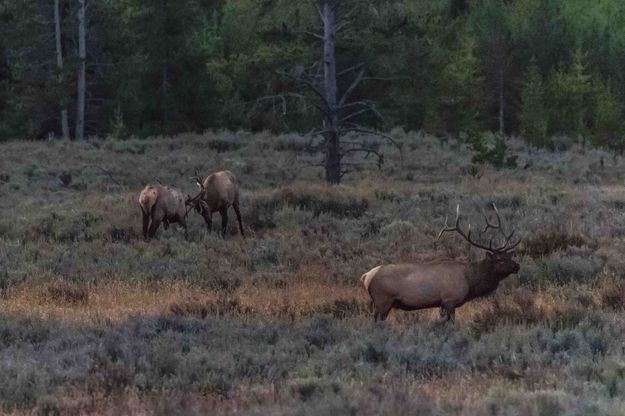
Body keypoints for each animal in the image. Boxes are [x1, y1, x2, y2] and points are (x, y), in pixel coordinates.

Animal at [358, 204, 520, 322]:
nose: (517, 266)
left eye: (508, 256)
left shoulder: (441, 304)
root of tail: (366, 276)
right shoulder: (450, 300)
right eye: (499, 260)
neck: (470, 281)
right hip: (383, 300)